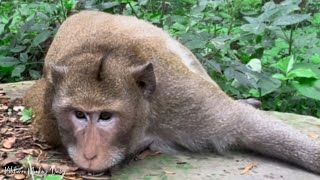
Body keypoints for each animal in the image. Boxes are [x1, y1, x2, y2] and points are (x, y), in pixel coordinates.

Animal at [23, 10, 320, 174]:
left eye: (105, 116)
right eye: (79, 115)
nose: (89, 154)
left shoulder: (177, 98)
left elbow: (244, 124)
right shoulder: (48, 116)